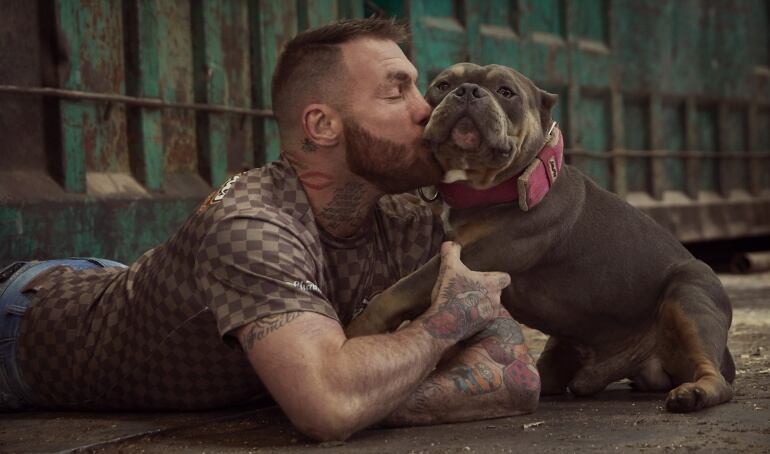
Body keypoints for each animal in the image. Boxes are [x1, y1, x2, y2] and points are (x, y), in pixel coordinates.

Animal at [346, 62, 732, 414]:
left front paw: (359, 327)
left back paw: (694, 393)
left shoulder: (478, 254)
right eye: (443, 85)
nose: (468, 91)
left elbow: (399, 289)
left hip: (690, 294)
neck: (491, 187)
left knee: (715, 376)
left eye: (506, 91)